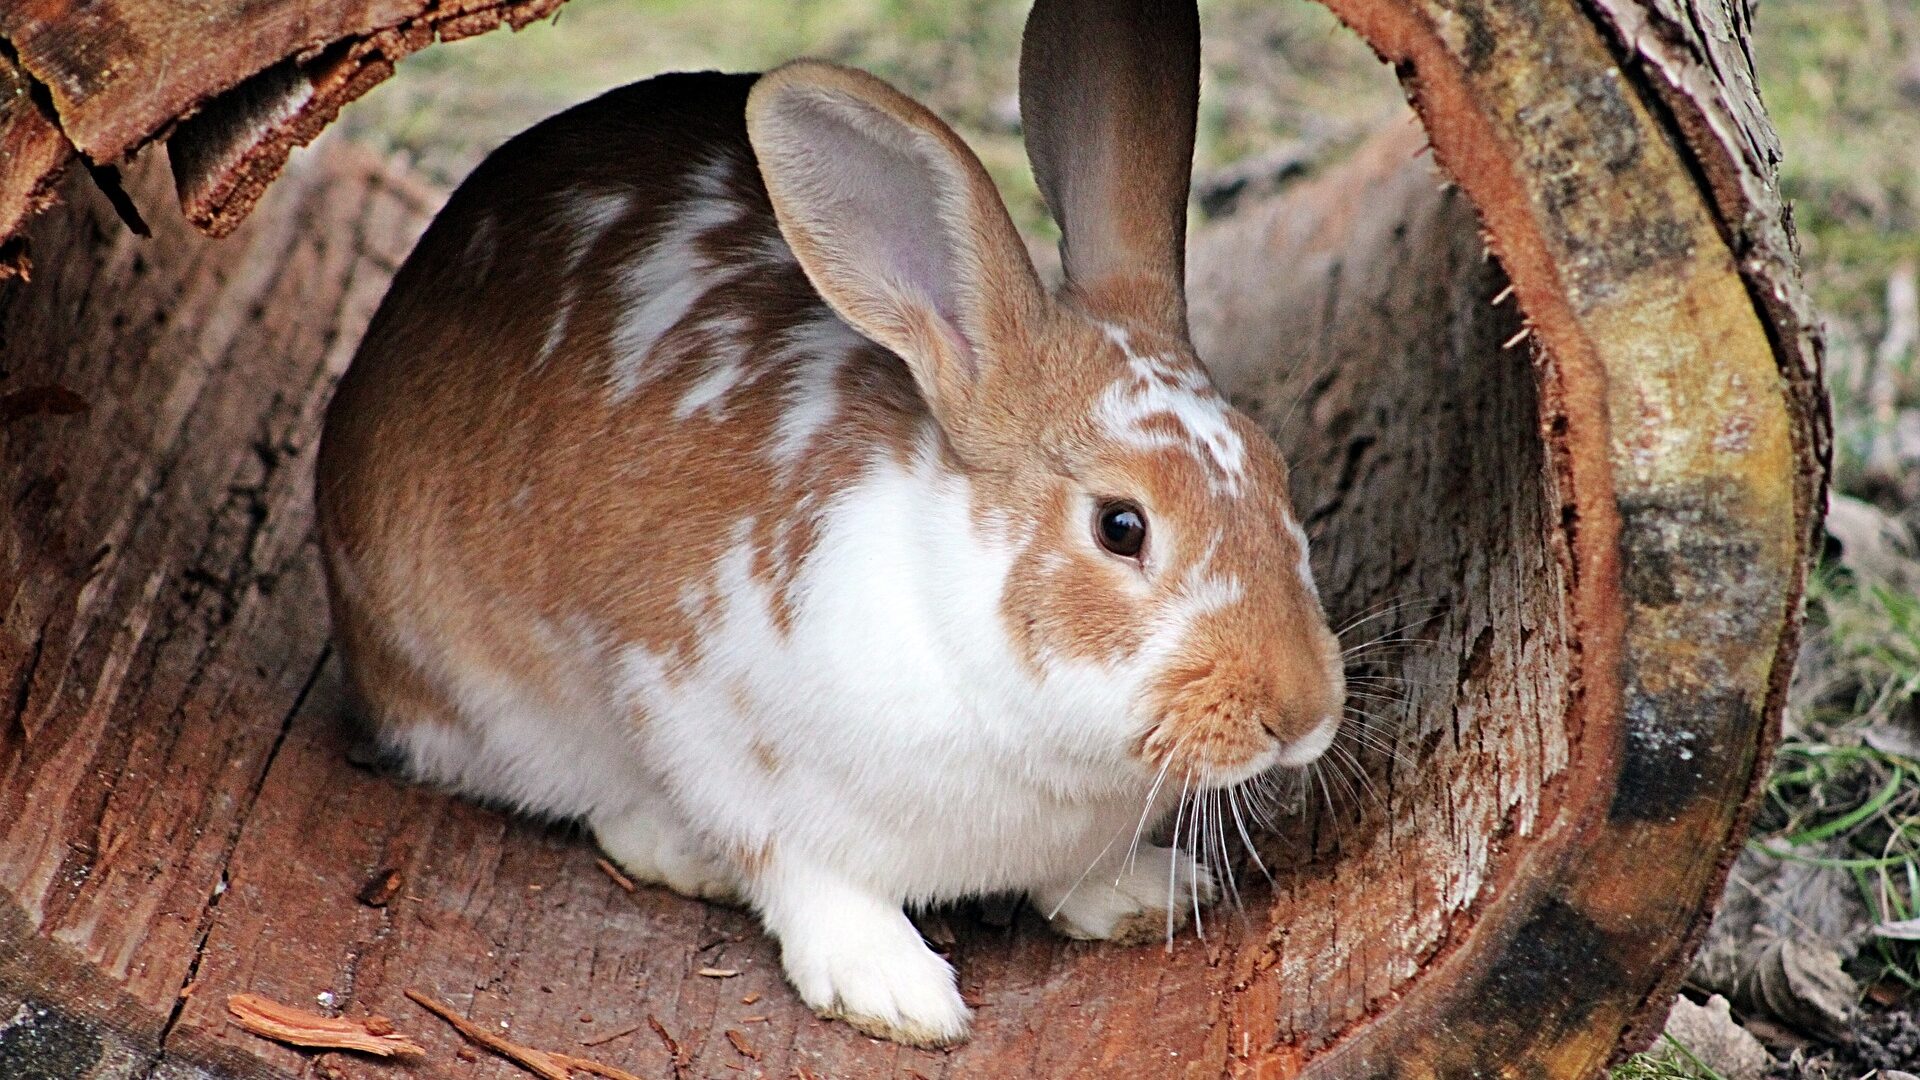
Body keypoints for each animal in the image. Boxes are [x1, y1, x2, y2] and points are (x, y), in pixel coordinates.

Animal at [314, 0, 1344, 1045]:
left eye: (1275, 467)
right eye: (1121, 526)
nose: (1302, 711)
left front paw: (1146, 897)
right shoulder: (716, 736)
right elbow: (805, 875)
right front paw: (896, 993)